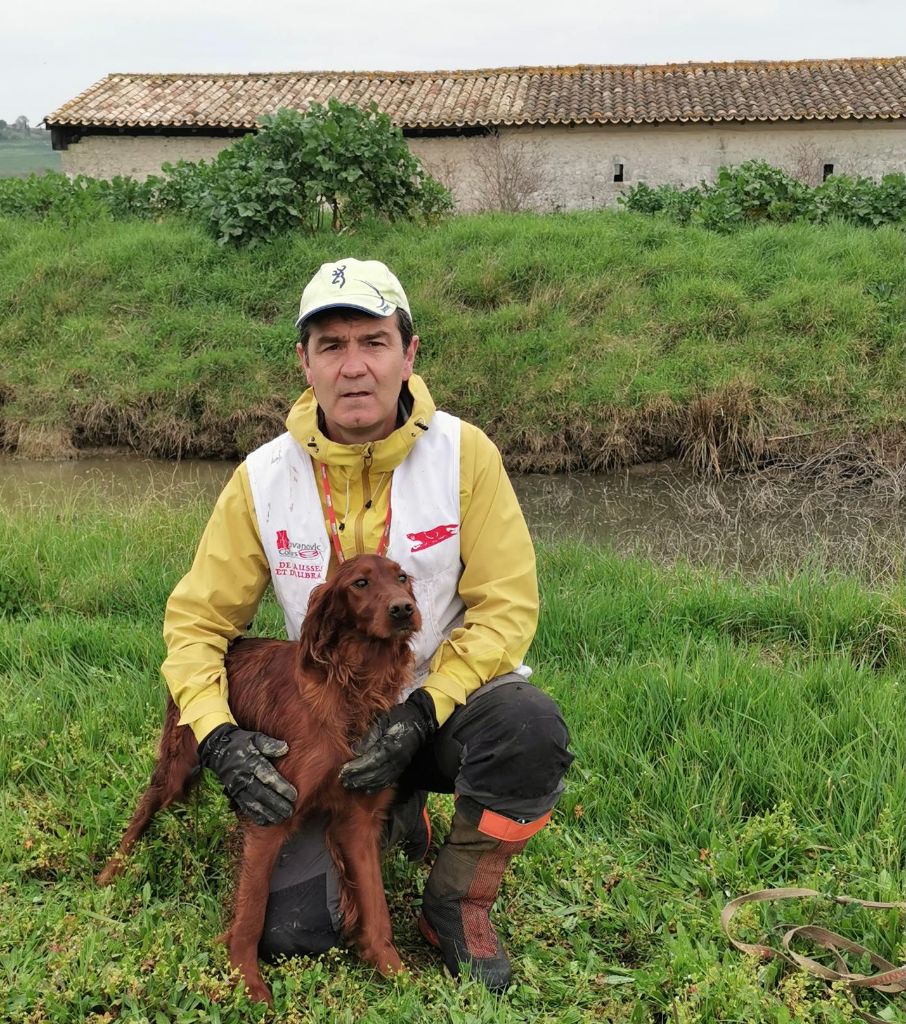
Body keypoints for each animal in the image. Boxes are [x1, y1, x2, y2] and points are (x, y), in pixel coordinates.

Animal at [97, 557, 421, 1003]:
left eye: (401, 578)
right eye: (359, 583)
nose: (404, 609)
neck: (348, 689)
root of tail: (231, 646)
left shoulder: (358, 819)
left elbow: (376, 908)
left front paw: (394, 970)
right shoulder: (271, 811)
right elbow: (251, 912)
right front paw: (246, 981)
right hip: (178, 765)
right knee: (143, 810)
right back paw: (111, 873)